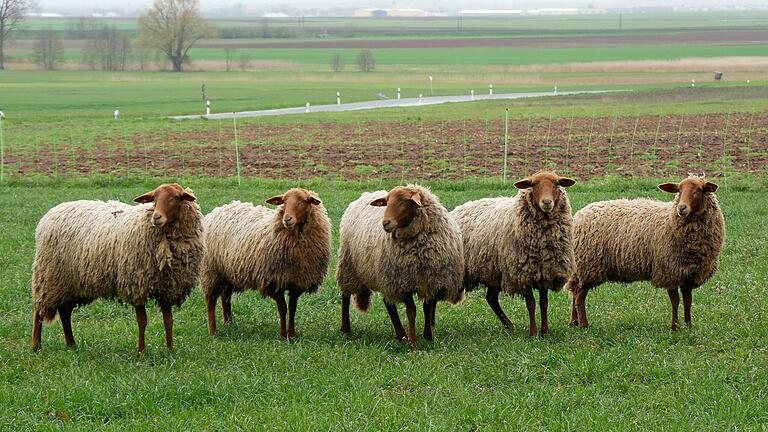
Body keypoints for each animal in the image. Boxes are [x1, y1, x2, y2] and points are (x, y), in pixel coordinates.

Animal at [31, 183, 202, 354]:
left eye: (176, 197)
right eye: (154, 199)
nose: (156, 217)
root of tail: (52, 212)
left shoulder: (167, 287)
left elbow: (169, 321)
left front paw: (170, 350)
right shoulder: (136, 284)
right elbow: (142, 321)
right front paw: (140, 352)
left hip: (70, 282)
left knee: (65, 312)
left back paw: (71, 344)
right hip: (48, 275)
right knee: (39, 310)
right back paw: (36, 345)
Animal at [201, 187, 330, 340]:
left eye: (304, 201)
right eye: (284, 201)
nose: (287, 219)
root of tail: (221, 208)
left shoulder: (296, 282)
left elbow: (293, 309)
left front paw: (292, 335)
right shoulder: (274, 281)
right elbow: (282, 309)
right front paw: (283, 335)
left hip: (228, 272)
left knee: (225, 297)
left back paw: (229, 323)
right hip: (211, 270)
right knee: (211, 300)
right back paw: (212, 331)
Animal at [336, 186, 462, 348]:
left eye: (404, 201)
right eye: (387, 202)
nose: (385, 223)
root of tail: (365, 194)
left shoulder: (430, 281)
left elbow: (427, 309)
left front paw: (428, 337)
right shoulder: (403, 283)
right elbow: (411, 311)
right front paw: (413, 342)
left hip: (384, 276)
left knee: (388, 303)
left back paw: (400, 334)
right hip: (350, 266)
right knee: (345, 296)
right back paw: (345, 328)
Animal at [450, 170, 576, 336]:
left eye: (557, 184)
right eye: (533, 184)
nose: (547, 203)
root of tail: (459, 208)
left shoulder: (544, 271)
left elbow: (544, 303)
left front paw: (545, 331)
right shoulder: (522, 273)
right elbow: (531, 303)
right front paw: (533, 333)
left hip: (494, 272)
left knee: (491, 298)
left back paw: (509, 325)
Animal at [564, 174, 728, 330]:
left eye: (699, 189)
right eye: (679, 190)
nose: (681, 208)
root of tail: (579, 215)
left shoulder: (688, 274)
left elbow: (688, 301)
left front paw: (688, 326)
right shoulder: (669, 271)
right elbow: (675, 301)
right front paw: (674, 327)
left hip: (580, 268)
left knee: (574, 292)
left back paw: (574, 322)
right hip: (588, 266)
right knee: (580, 295)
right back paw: (584, 324)